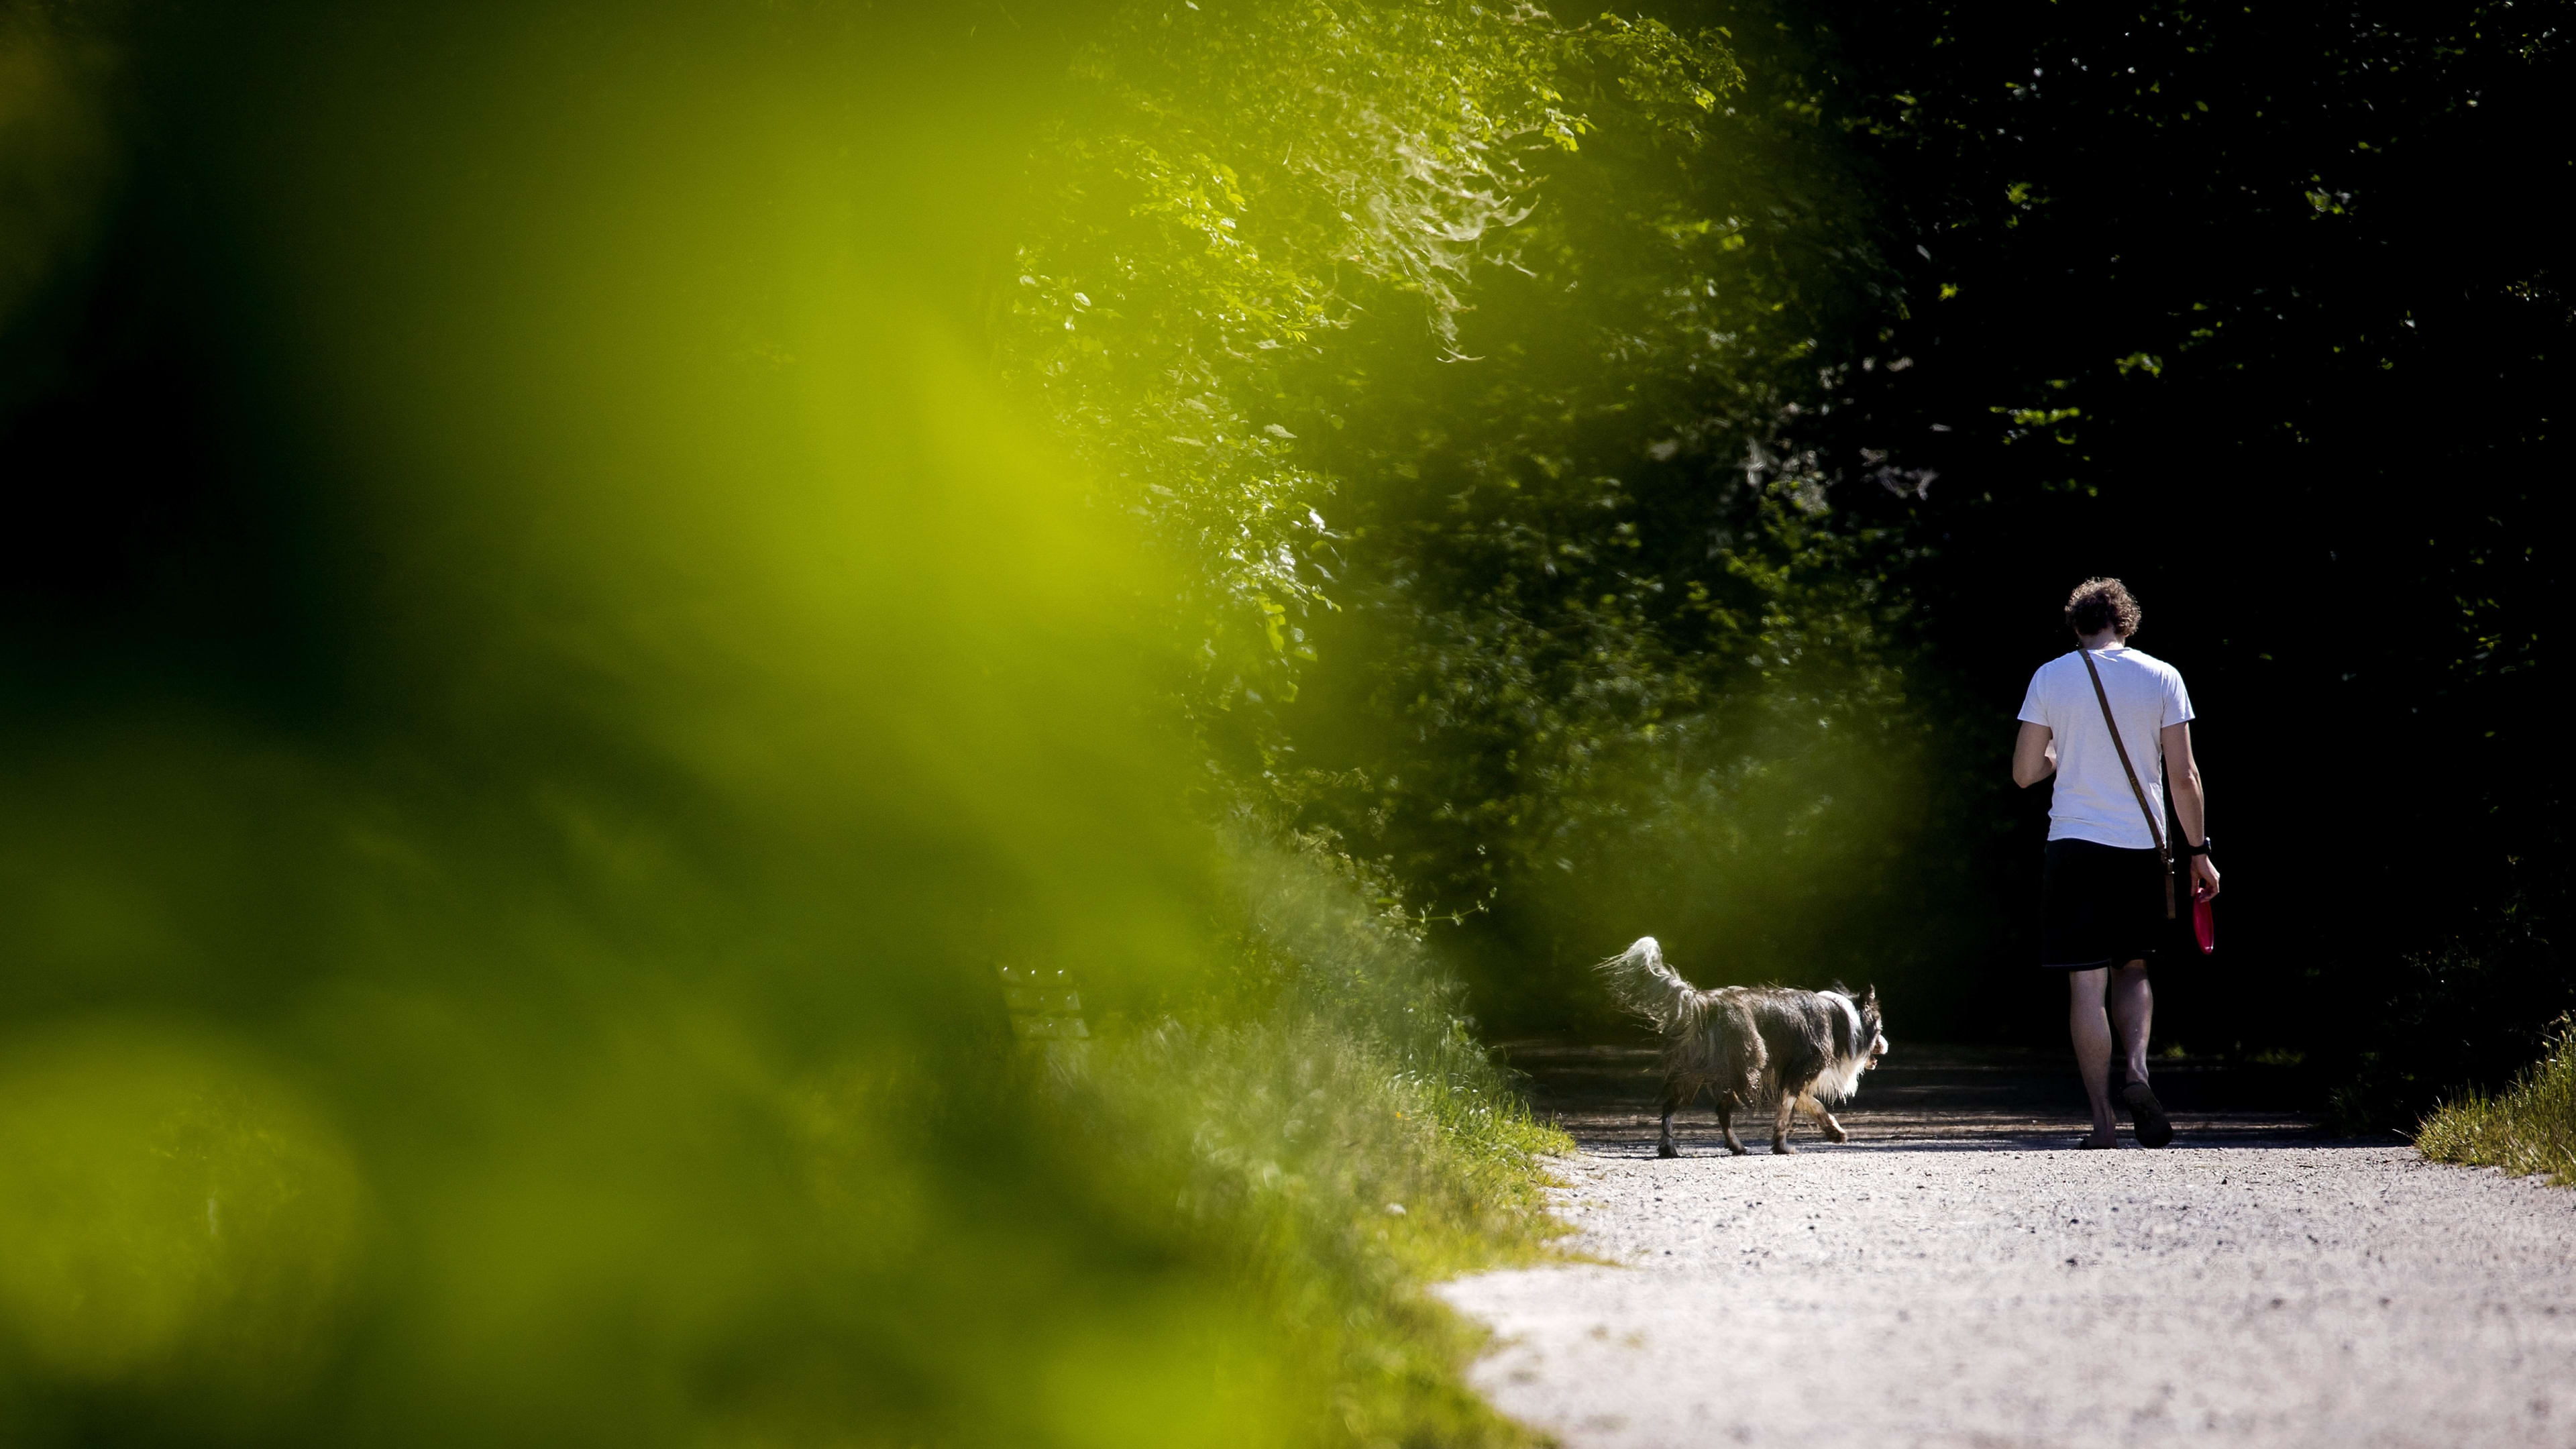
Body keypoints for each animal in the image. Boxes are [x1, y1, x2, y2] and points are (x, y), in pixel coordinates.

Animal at [1587, 928, 1896, 1155]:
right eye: (1880, 1026)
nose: (1887, 1045)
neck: (1846, 1017)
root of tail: (1705, 1002)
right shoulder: (1800, 1069)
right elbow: (1788, 1112)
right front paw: (1782, 1146)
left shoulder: (1790, 1075)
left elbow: (1813, 1105)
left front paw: (1835, 1132)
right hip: (1749, 1064)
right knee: (1719, 1111)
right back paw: (1731, 1146)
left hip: (1696, 1070)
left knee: (1673, 1109)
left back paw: (1677, 1148)